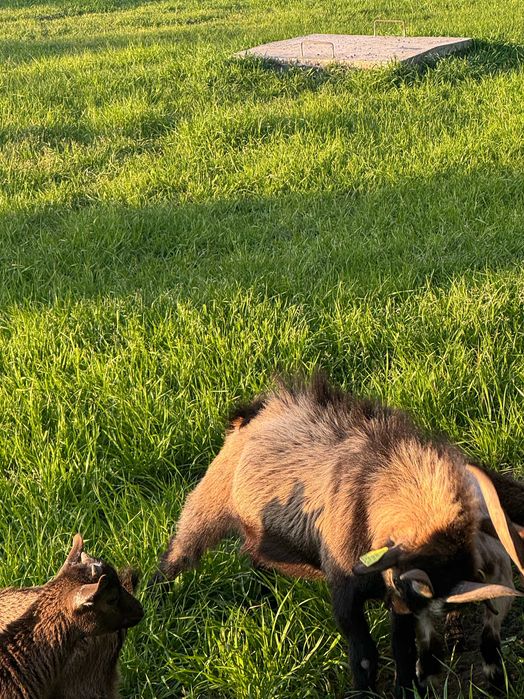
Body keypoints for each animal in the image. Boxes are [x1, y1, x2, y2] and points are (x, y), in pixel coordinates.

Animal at [152, 374, 523, 698]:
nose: (428, 674)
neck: (375, 482)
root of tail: (254, 410)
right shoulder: (345, 591)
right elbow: (364, 654)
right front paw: (364, 692)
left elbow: (401, 648)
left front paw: (405, 689)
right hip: (209, 503)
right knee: (178, 553)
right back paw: (157, 601)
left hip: (260, 529)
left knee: (256, 556)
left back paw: (266, 600)